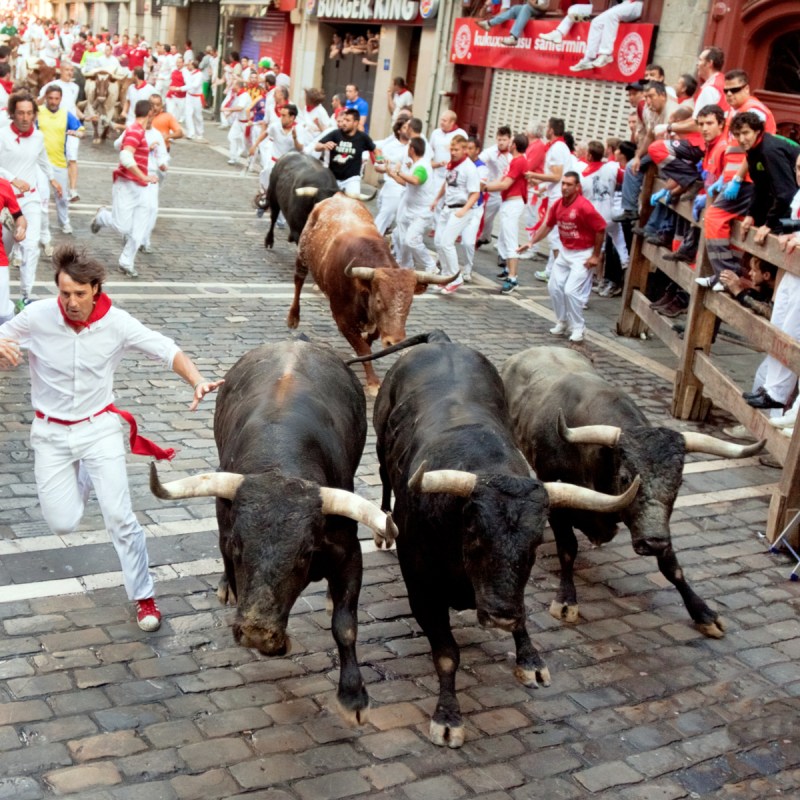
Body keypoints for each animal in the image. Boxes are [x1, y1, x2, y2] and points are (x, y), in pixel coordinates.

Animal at [150, 340, 396, 728]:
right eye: (237, 546)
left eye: (305, 552)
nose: (257, 631)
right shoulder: (225, 533)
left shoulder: (348, 552)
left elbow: (345, 625)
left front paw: (353, 696)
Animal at [288, 194, 454, 394]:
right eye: (380, 300)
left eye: (409, 303)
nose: (394, 341)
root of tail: (338, 196)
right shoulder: (342, 319)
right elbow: (363, 350)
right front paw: (373, 382)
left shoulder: (376, 324)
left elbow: (370, 340)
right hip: (302, 255)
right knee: (298, 281)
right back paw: (293, 317)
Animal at [360, 330, 640, 744]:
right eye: (475, 533)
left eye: (536, 543)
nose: (499, 615)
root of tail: (441, 341)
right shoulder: (421, 589)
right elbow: (447, 654)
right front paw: (448, 717)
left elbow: (523, 612)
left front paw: (530, 658)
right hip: (380, 446)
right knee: (381, 477)